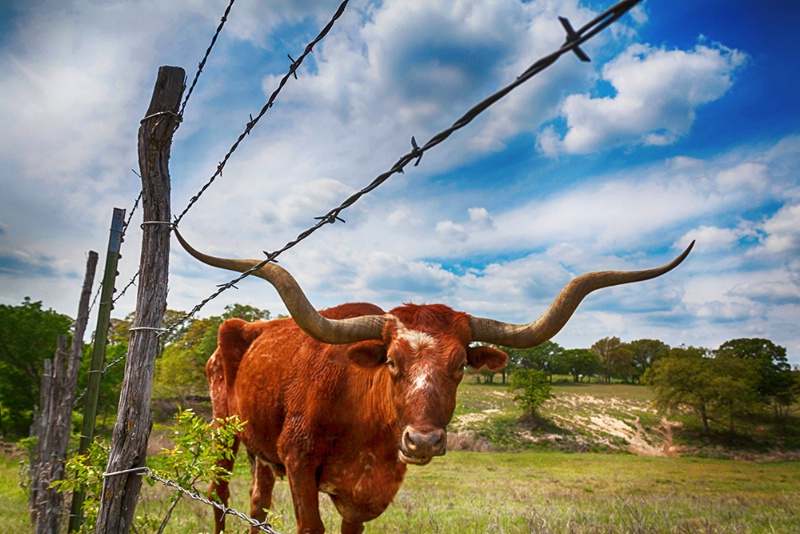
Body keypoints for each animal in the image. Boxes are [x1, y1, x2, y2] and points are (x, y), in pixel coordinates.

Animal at [177, 232, 692, 534]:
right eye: (390, 361)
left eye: (461, 365)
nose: (422, 440)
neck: (363, 428)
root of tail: (245, 325)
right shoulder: (301, 465)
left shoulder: (363, 495)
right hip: (223, 434)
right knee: (220, 498)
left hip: (260, 450)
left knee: (256, 504)